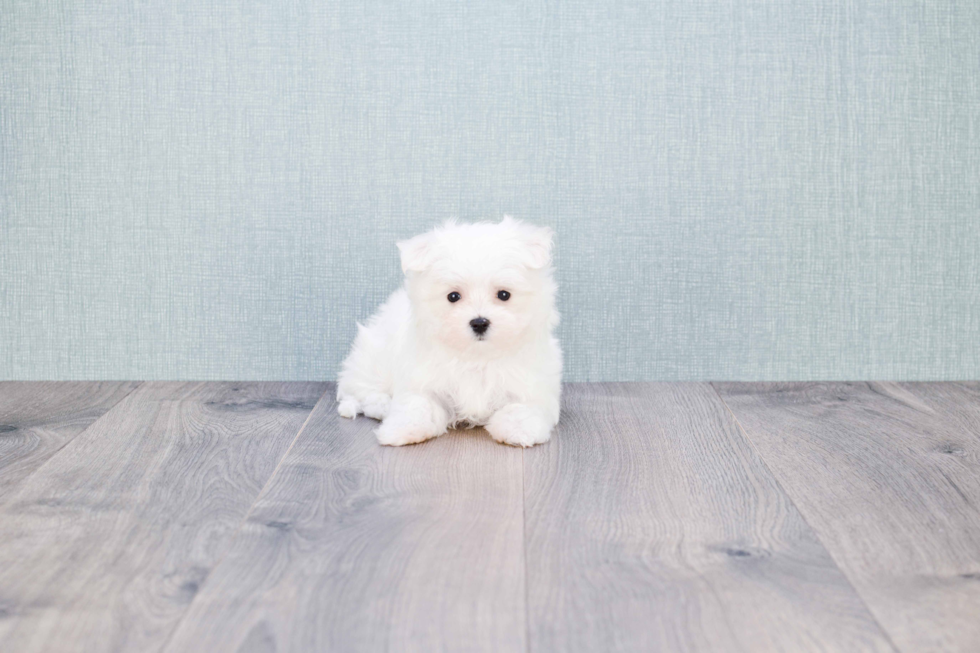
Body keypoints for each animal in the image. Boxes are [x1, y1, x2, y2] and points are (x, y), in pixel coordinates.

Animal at [336, 216, 564, 446]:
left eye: (504, 294)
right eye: (453, 296)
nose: (479, 322)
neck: (476, 357)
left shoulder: (533, 383)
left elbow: (522, 407)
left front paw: (519, 429)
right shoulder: (421, 377)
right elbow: (419, 403)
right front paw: (402, 428)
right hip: (374, 356)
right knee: (361, 388)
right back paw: (382, 405)